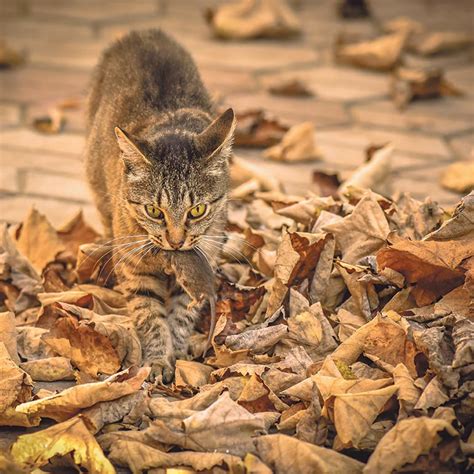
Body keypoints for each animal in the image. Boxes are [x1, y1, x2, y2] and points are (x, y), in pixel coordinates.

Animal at [85, 30, 237, 382]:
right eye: (154, 211)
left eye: (197, 211)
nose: (176, 241)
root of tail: (142, 32)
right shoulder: (134, 268)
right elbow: (149, 316)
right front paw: (156, 359)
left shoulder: (202, 259)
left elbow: (181, 314)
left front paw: (177, 352)